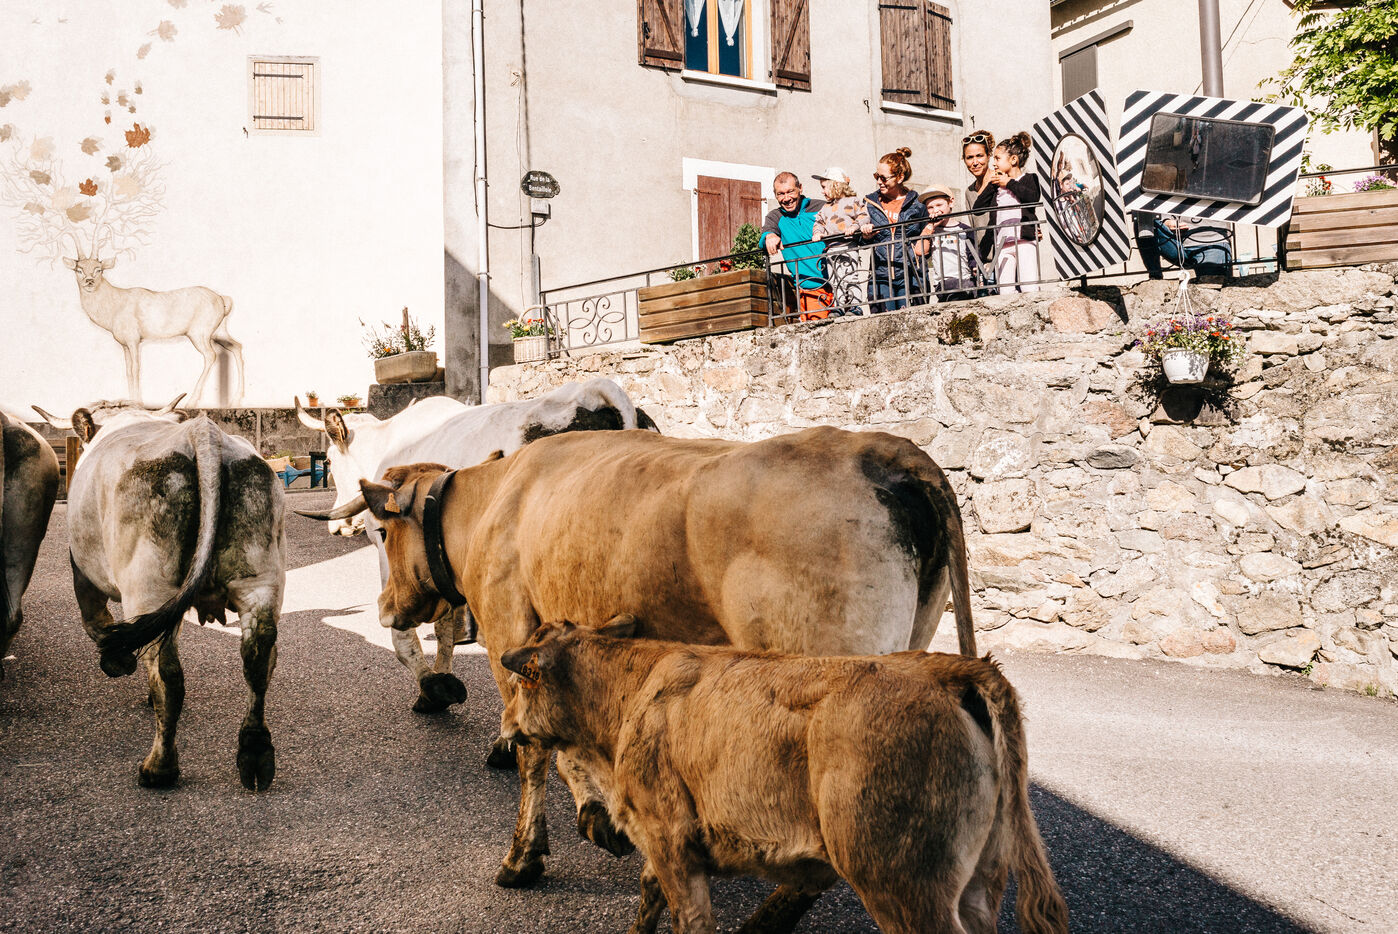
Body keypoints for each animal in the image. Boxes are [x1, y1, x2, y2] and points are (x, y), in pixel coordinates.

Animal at [35, 397, 284, 791]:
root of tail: (202, 432)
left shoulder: (82, 570)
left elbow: (96, 620)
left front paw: (118, 660)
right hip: (261, 579)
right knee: (258, 658)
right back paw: (255, 755)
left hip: (148, 585)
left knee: (167, 674)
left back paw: (159, 768)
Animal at [294, 378, 655, 714]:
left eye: (328, 460)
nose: (338, 528)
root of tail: (594, 393)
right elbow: (444, 626)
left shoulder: (392, 550)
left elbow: (404, 633)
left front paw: (431, 687)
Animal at [316, 426, 977, 889]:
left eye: (382, 531)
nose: (384, 610)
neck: (488, 505)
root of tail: (883, 451)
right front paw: (600, 813)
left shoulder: (509, 629)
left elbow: (534, 750)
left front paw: (526, 855)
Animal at [501, 618, 1069, 934]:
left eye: (523, 679)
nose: (507, 726)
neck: (631, 692)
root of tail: (948, 670)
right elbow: (649, 895)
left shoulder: (667, 836)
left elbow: (689, 917)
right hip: (980, 880)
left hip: (903, 885)